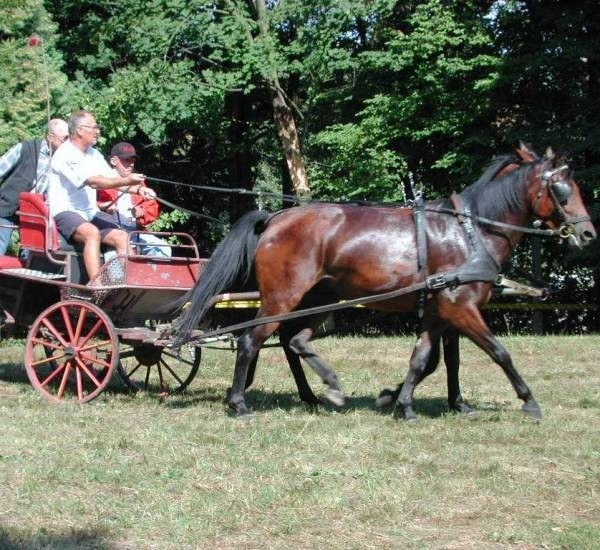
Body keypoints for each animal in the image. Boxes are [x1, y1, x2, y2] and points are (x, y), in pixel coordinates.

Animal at [172, 149, 596, 420]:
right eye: (562, 190)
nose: (588, 234)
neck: (470, 232)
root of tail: (275, 219)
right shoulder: (460, 307)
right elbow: (499, 352)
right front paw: (529, 402)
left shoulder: (439, 311)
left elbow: (426, 359)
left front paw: (402, 401)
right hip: (283, 297)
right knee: (252, 340)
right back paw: (240, 403)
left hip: (319, 299)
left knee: (294, 340)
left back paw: (323, 390)